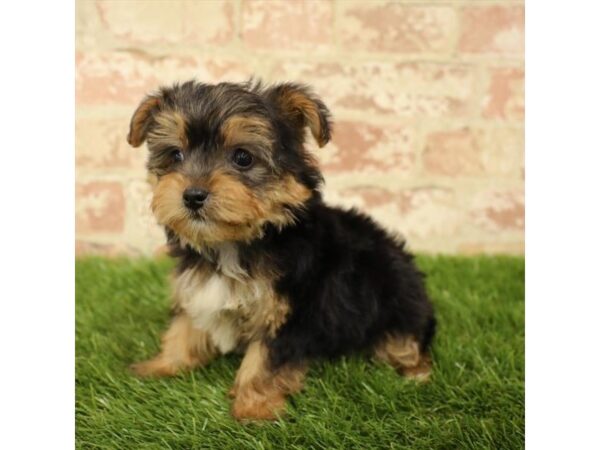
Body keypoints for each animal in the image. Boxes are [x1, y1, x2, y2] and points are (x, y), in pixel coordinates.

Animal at [127, 79, 436, 420]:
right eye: (176, 155)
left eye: (243, 157)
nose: (192, 195)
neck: (236, 243)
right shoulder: (197, 289)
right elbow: (185, 327)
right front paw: (164, 364)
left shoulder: (290, 310)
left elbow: (265, 360)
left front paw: (254, 408)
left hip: (397, 300)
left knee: (407, 342)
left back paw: (416, 371)